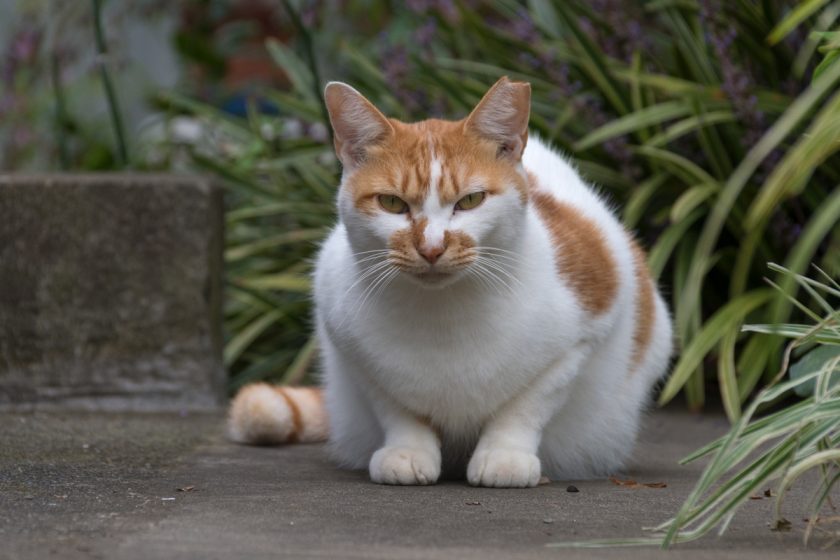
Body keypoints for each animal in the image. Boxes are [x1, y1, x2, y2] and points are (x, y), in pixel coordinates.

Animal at [226, 77, 672, 486]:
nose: (432, 247)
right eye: (392, 203)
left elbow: (526, 405)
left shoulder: (588, 327)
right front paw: (407, 451)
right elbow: (396, 408)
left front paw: (505, 455)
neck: (444, 318)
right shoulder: (348, 342)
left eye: (470, 201)